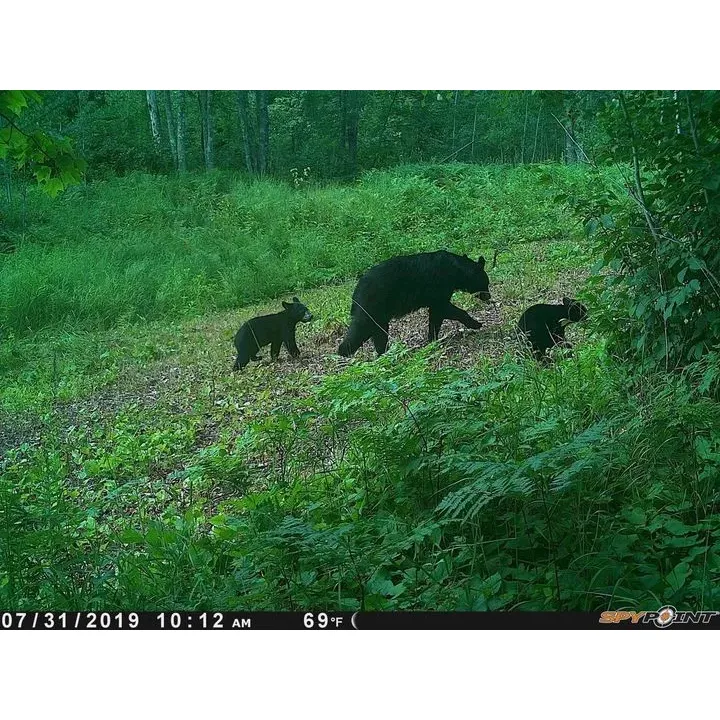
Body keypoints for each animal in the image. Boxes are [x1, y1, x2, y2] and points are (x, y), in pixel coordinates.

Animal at [338, 250, 490, 358]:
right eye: (486, 283)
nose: (488, 296)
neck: (456, 270)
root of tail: (356, 291)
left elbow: (436, 314)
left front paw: (432, 339)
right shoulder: (440, 286)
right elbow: (443, 309)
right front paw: (476, 323)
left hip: (379, 314)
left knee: (379, 333)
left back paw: (384, 353)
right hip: (372, 304)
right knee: (361, 328)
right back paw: (343, 352)